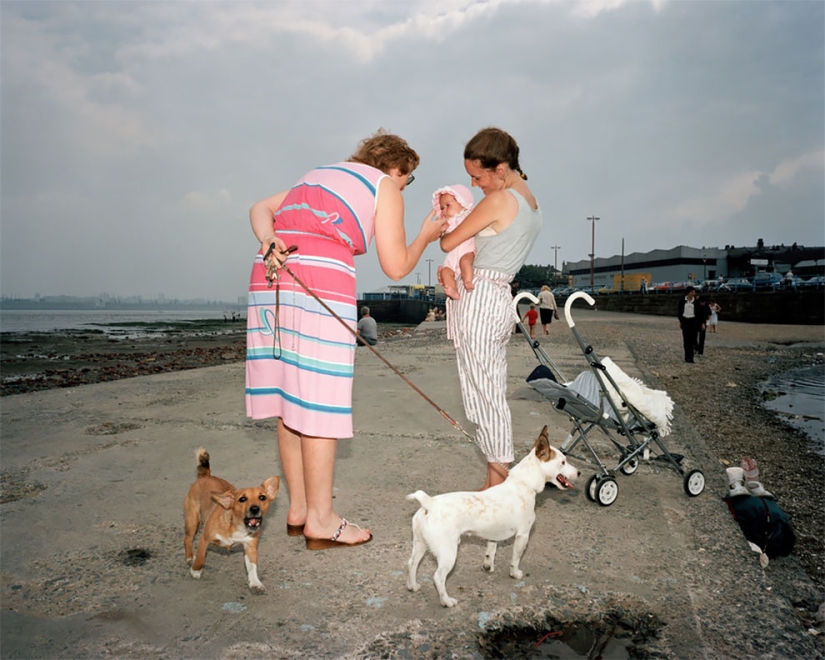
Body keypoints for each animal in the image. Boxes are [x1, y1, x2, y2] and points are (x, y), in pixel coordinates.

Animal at [183, 448, 280, 592]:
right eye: (242, 499)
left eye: (262, 497)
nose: (255, 509)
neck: (236, 527)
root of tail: (205, 476)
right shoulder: (204, 539)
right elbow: (201, 557)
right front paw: (196, 569)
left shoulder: (250, 547)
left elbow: (252, 567)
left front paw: (255, 582)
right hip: (193, 520)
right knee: (187, 538)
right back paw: (190, 557)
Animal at [408, 426, 580, 604]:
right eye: (563, 462)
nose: (579, 472)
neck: (524, 483)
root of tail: (429, 503)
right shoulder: (523, 535)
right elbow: (515, 558)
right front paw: (515, 574)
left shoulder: (493, 535)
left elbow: (490, 551)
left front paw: (487, 566)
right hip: (448, 552)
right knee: (438, 577)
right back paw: (447, 601)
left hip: (420, 544)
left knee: (412, 563)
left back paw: (413, 586)